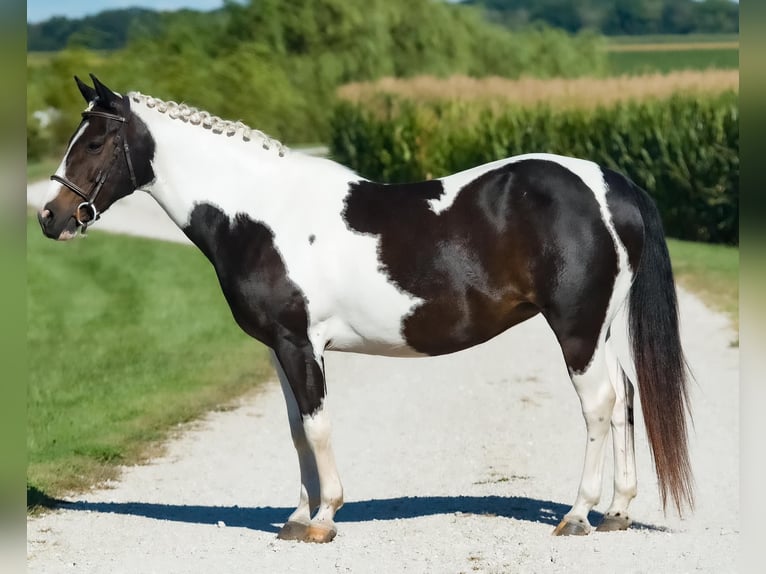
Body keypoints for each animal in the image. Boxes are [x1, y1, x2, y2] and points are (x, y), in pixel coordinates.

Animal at [37, 76, 696, 544]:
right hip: (599, 328)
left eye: (94, 141)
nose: (50, 217)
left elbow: (318, 425)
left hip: (576, 329)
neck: (261, 214)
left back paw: (578, 514)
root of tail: (609, 184)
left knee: (600, 404)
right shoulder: (279, 348)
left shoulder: (302, 344)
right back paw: (617, 511)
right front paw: (297, 516)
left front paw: (325, 517)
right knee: (626, 397)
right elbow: (296, 428)